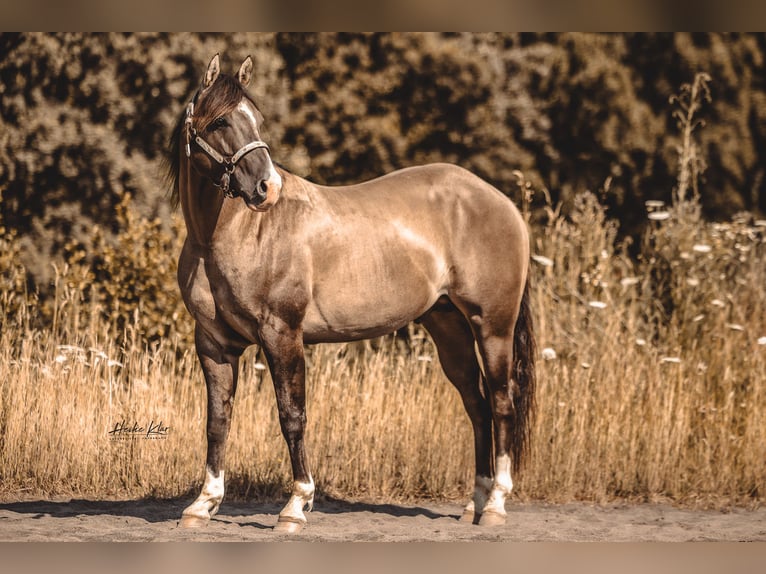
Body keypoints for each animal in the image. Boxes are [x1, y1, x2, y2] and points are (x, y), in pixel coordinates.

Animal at [168, 54, 536, 534]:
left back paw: (494, 505)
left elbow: (292, 417)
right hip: (448, 327)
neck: (234, 235)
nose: (268, 188)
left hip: (493, 325)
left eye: (256, 120)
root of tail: (502, 203)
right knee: (477, 406)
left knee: (502, 403)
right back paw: (474, 504)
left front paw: (296, 506)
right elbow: (217, 420)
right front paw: (203, 503)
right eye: (221, 121)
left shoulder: (282, 335)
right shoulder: (213, 343)